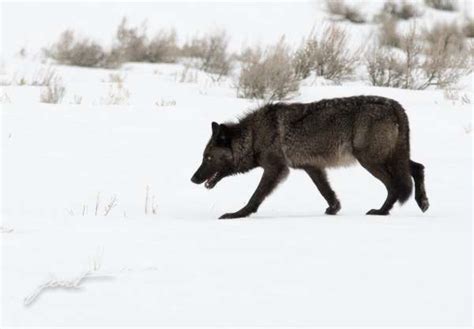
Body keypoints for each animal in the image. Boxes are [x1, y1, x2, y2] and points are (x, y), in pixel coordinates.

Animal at [190, 95, 430, 218]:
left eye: (208, 158)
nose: (193, 179)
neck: (255, 135)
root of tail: (395, 105)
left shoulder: (275, 169)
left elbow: (255, 196)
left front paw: (237, 214)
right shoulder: (312, 167)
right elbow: (326, 192)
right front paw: (334, 209)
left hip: (371, 161)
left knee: (396, 185)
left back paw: (381, 211)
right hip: (388, 159)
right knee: (418, 167)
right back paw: (422, 202)